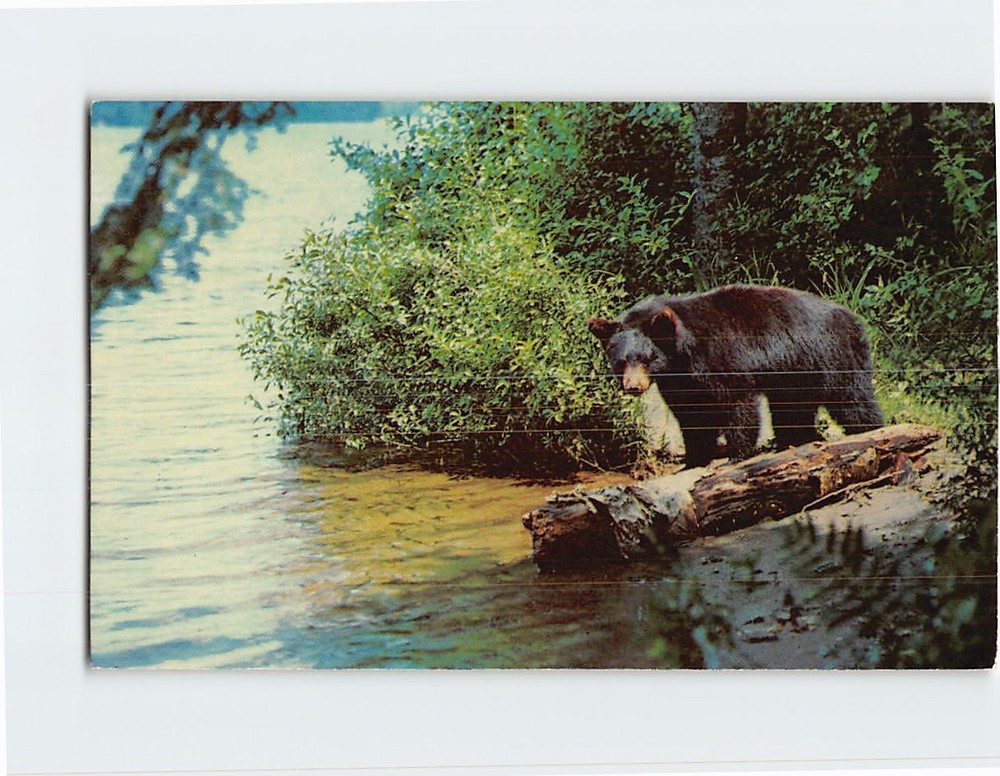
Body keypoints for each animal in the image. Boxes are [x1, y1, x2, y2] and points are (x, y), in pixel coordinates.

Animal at [588, 284, 884, 466]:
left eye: (647, 358)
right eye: (621, 361)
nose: (633, 386)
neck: (682, 353)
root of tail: (853, 319)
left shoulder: (721, 357)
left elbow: (736, 405)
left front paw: (737, 455)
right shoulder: (680, 381)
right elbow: (692, 415)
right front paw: (694, 458)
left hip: (830, 357)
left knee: (852, 401)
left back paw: (873, 431)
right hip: (796, 375)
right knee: (792, 410)